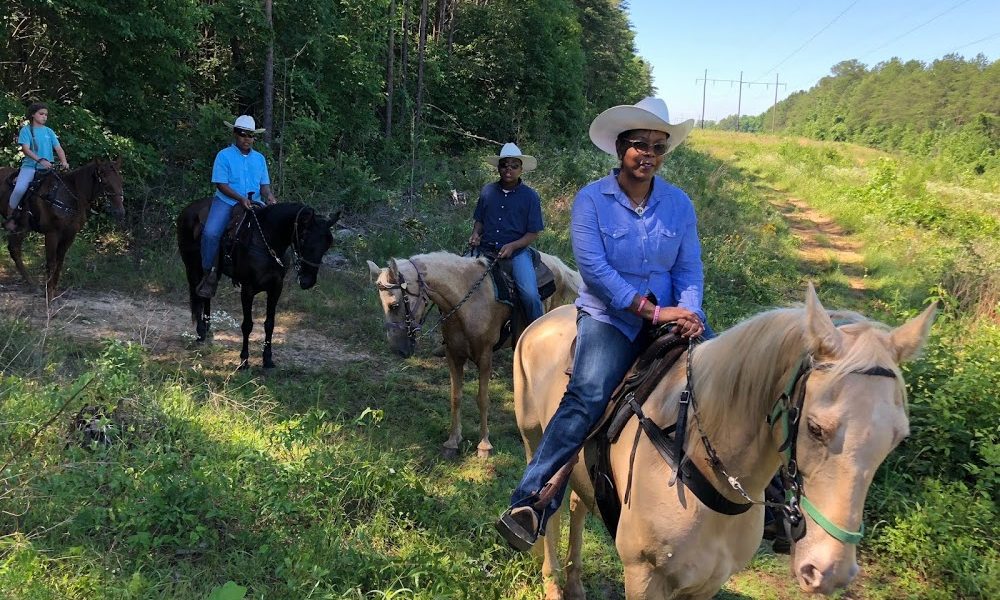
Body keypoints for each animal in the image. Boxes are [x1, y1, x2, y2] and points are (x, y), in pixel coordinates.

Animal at [0, 158, 125, 300]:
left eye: (120, 181)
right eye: (104, 182)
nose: (120, 212)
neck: (70, 197)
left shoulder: (70, 235)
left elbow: (59, 262)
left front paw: (54, 291)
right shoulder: (52, 234)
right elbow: (51, 263)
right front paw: (48, 294)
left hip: (22, 229)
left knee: (14, 249)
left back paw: (32, 284)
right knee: (15, 250)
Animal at [368, 251, 584, 458]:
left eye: (395, 305)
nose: (397, 349)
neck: (467, 302)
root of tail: (556, 264)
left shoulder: (485, 356)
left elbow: (482, 399)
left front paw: (484, 445)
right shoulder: (453, 355)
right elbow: (456, 396)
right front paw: (452, 442)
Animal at [516, 284, 936, 600]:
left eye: (896, 439)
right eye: (816, 428)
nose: (831, 571)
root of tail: (548, 318)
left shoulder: (706, 584)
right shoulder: (642, 576)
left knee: (576, 505)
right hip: (533, 437)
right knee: (549, 508)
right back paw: (550, 578)